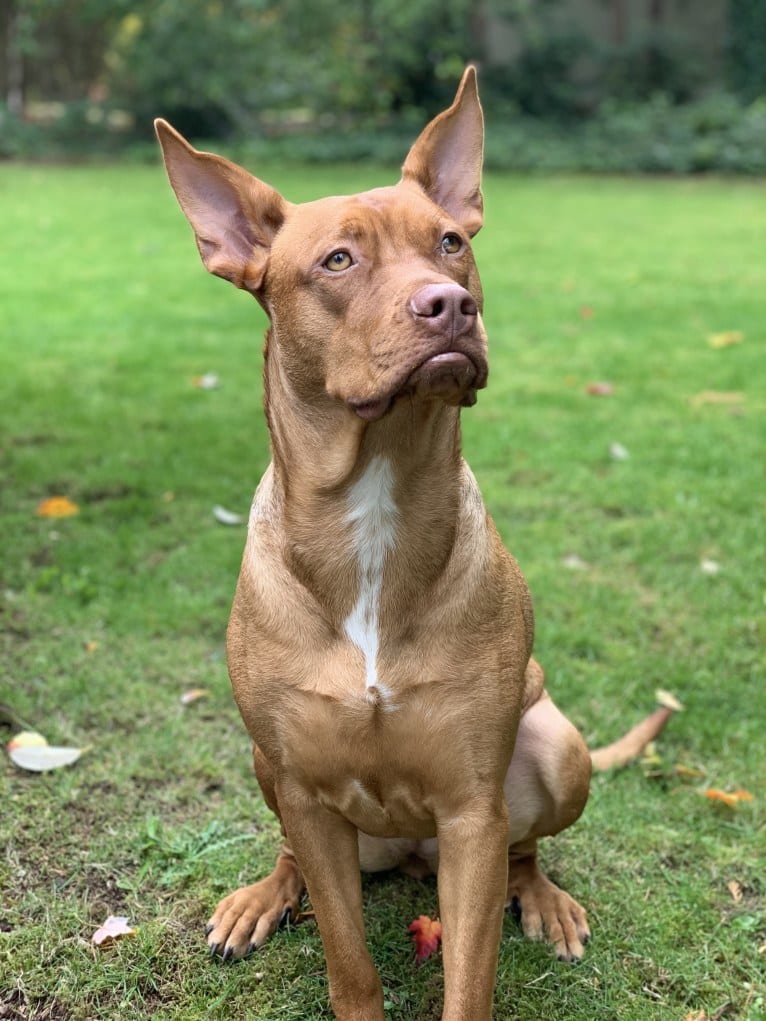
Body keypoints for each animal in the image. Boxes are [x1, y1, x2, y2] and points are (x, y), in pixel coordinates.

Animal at [154, 67, 616, 1016]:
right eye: (339, 260)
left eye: (451, 242)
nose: (451, 306)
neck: (376, 498)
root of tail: (404, 852)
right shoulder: (303, 790)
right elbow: (347, 957)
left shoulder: (473, 812)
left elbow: (468, 977)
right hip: (268, 765)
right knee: (291, 850)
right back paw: (263, 897)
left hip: (557, 750)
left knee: (526, 847)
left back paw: (544, 898)